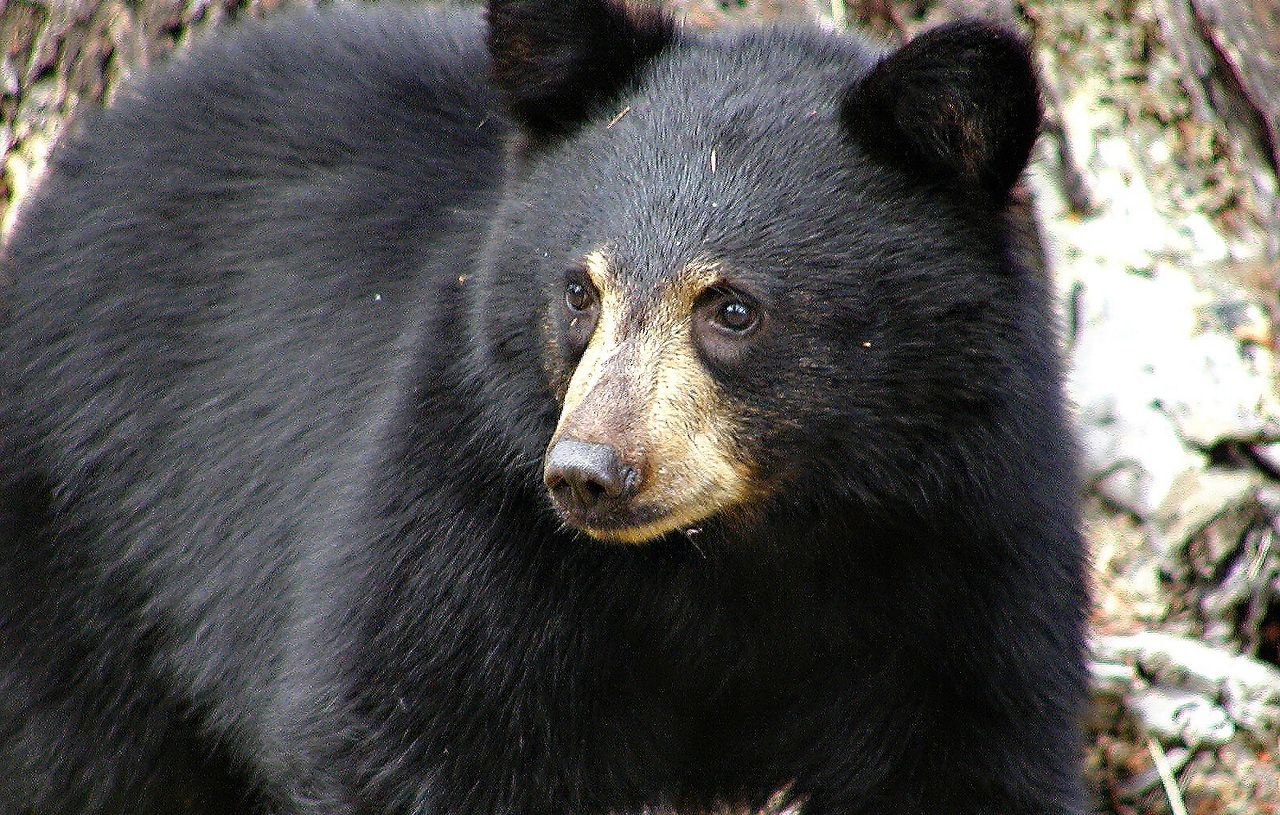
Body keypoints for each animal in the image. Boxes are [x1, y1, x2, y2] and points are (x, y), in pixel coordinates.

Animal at [2, 0, 1090, 808]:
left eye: (732, 307)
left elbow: (971, 751)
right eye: (579, 289)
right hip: (86, 540)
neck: (741, 549)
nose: (588, 474)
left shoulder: (966, 545)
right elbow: (413, 729)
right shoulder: (466, 516)